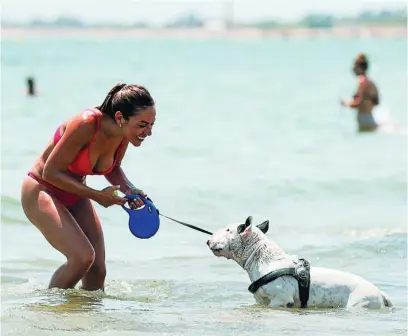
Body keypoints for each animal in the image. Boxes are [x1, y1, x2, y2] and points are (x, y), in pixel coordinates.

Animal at [207, 215, 392, 310]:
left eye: (228, 230)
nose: (208, 241)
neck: (262, 258)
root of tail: (381, 294)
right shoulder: (261, 301)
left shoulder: (280, 300)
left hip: (360, 302)